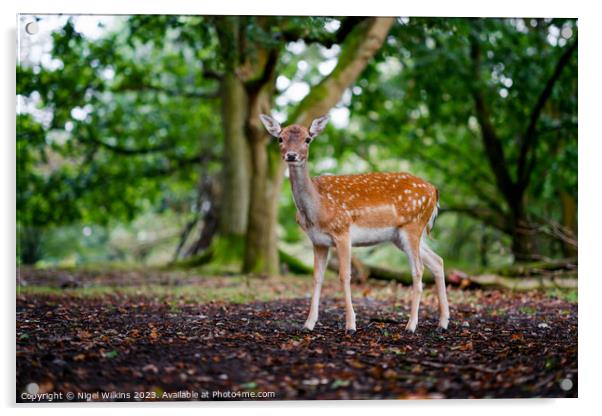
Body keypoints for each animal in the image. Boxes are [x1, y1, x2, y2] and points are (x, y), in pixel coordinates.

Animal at [258, 114, 450, 334]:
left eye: (308, 139)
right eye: (280, 138)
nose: (291, 155)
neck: (317, 209)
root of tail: (434, 190)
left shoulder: (342, 231)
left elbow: (345, 276)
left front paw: (350, 325)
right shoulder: (318, 241)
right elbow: (317, 277)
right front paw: (308, 324)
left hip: (413, 225)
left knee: (418, 270)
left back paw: (411, 325)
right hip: (401, 236)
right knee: (437, 261)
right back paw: (443, 323)